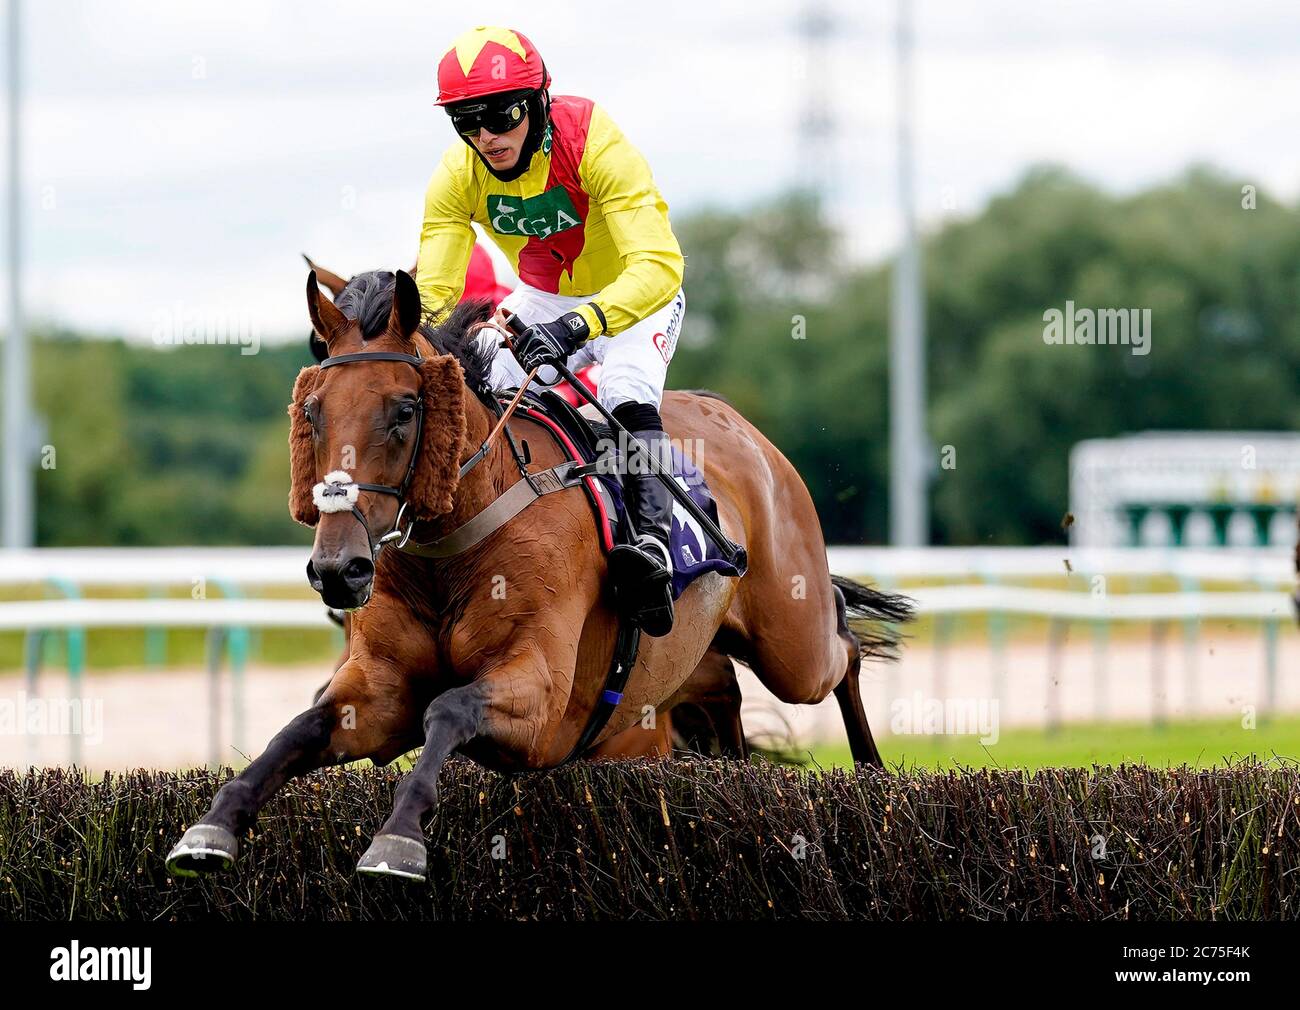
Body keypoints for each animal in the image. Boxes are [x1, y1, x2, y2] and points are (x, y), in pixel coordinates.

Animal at [165, 270, 915, 883]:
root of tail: (736, 420)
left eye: (405, 410)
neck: (455, 541)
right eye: (312, 413)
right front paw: (212, 826)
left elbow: (449, 708)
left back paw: (876, 777)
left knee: (842, 648)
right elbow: (300, 727)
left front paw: (397, 839)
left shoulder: (540, 699)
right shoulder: (379, 691)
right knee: (732, 711)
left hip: (791, 640)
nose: (338, 569)